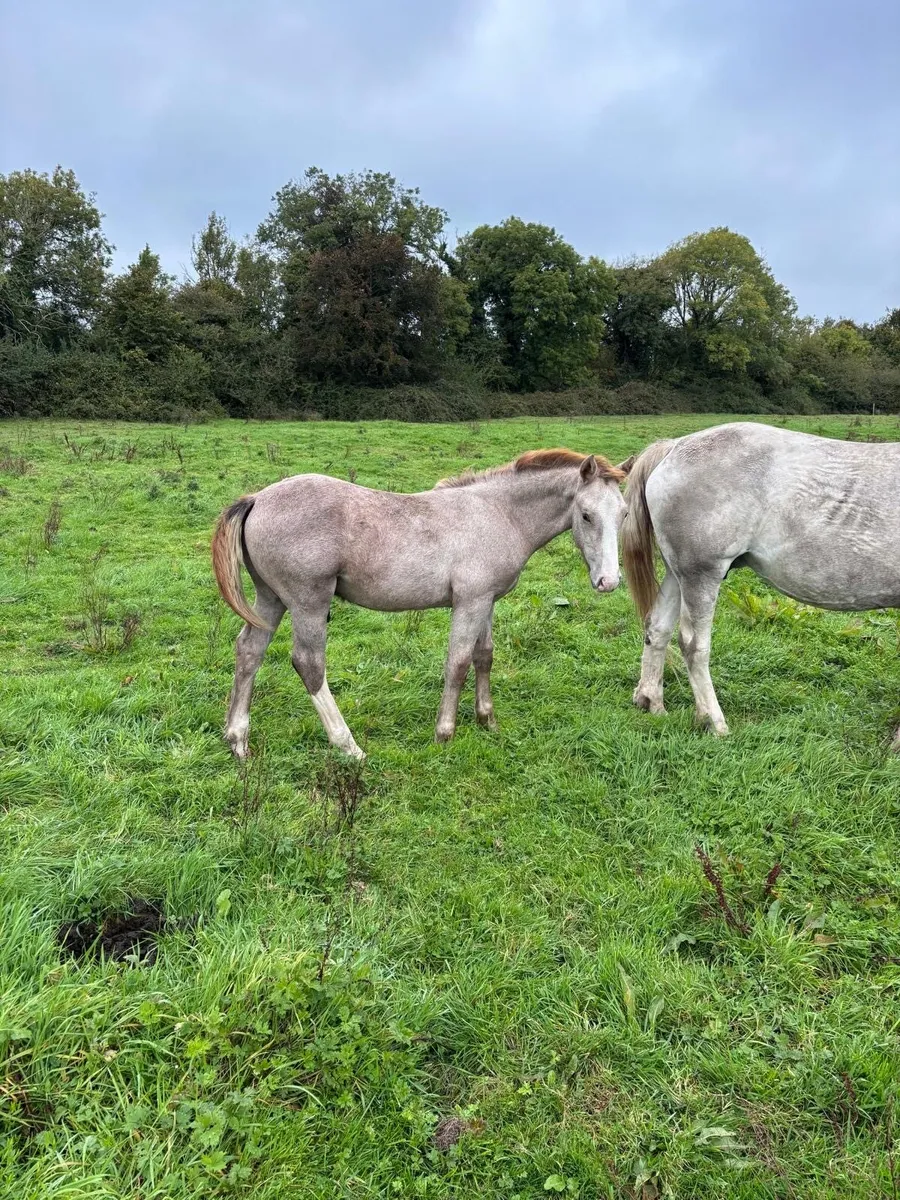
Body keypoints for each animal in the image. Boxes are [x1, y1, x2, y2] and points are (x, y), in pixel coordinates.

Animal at [212, 448, 634, 759]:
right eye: (586, 515)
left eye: (625, 513)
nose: (609, 581)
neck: (498, 514)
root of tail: (256, 498)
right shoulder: (469, 602)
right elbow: (458, 663)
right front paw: (444, 733)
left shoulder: (486, 601)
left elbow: (484, 656)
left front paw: (487, 721)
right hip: (309, 602)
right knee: (308, 664)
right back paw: (348, 746)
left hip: (271, 598)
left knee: (249, 651)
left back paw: (237, 739)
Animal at [621, 421, 900, 744]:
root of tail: (675, 446)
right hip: (701, 574)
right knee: (693, 646)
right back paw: (713, 721)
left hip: (678, 573)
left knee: (657, 628)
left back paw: (650, 700)